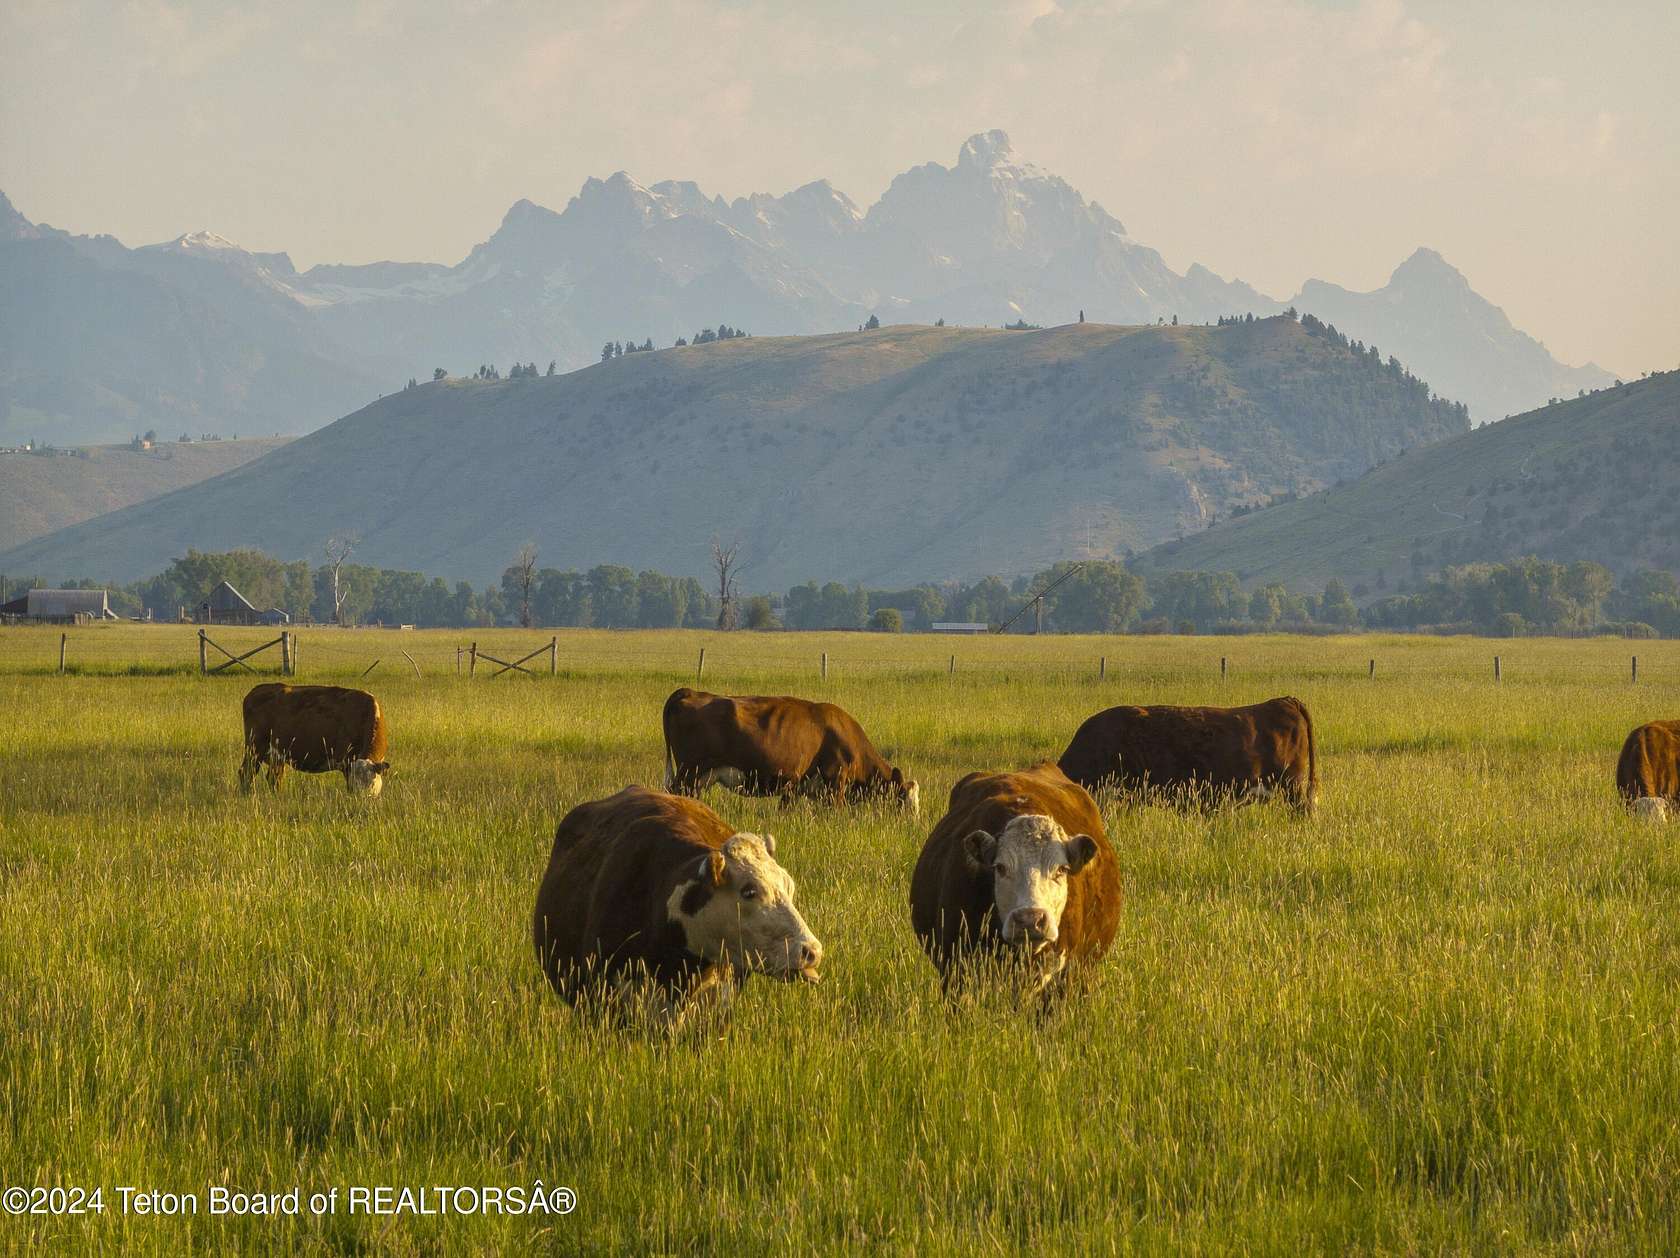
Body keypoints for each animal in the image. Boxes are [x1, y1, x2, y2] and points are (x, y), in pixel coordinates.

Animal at [240, 681, 389, 789]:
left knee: (274, 778)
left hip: (276, 755)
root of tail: (257, 689)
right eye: (354, 785)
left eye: (371, 784)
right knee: (246, 773)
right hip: (255, 749)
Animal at [661, 688, 920, 816]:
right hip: (688, 771)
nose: (913, 824)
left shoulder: (793, 787)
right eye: (905, 800)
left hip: (698, 778)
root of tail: (690, 691)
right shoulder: (836, 782)